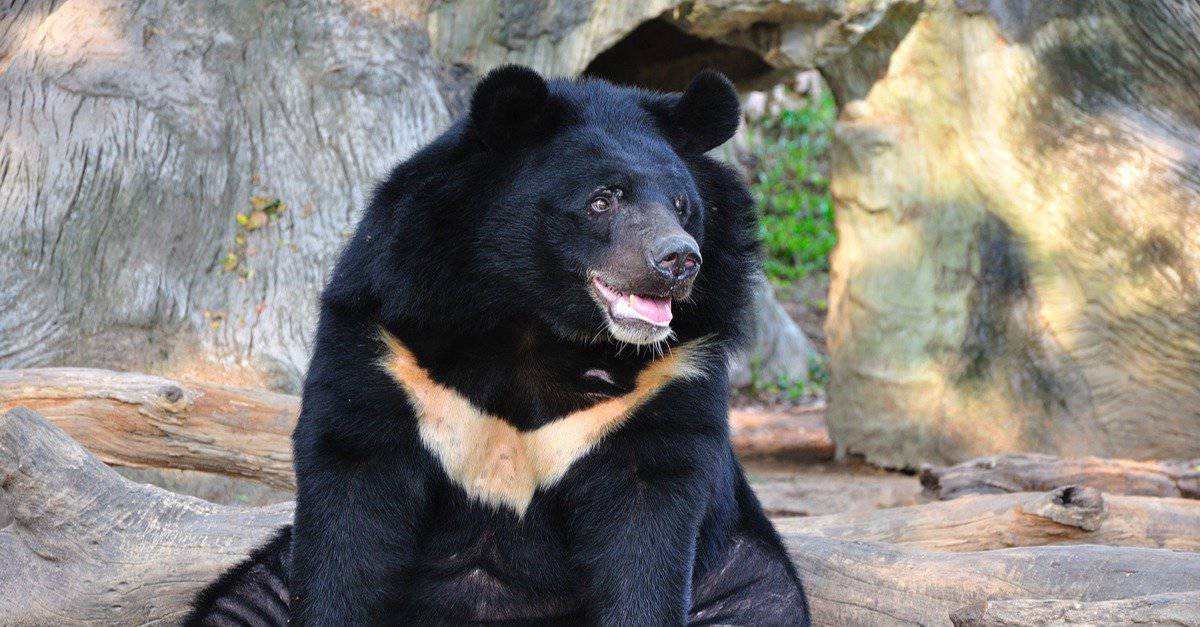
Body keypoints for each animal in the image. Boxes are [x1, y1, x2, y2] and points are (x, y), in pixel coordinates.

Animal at [184, 65, 806, 619]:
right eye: (603, 199)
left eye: (683, 205)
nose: (678, 261)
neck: (532, 319)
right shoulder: (386, 340)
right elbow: (350, 499)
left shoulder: (671, 370)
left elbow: (648, 524)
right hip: (272, 577)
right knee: (241, 603)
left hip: (737, 571)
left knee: (760, 601)